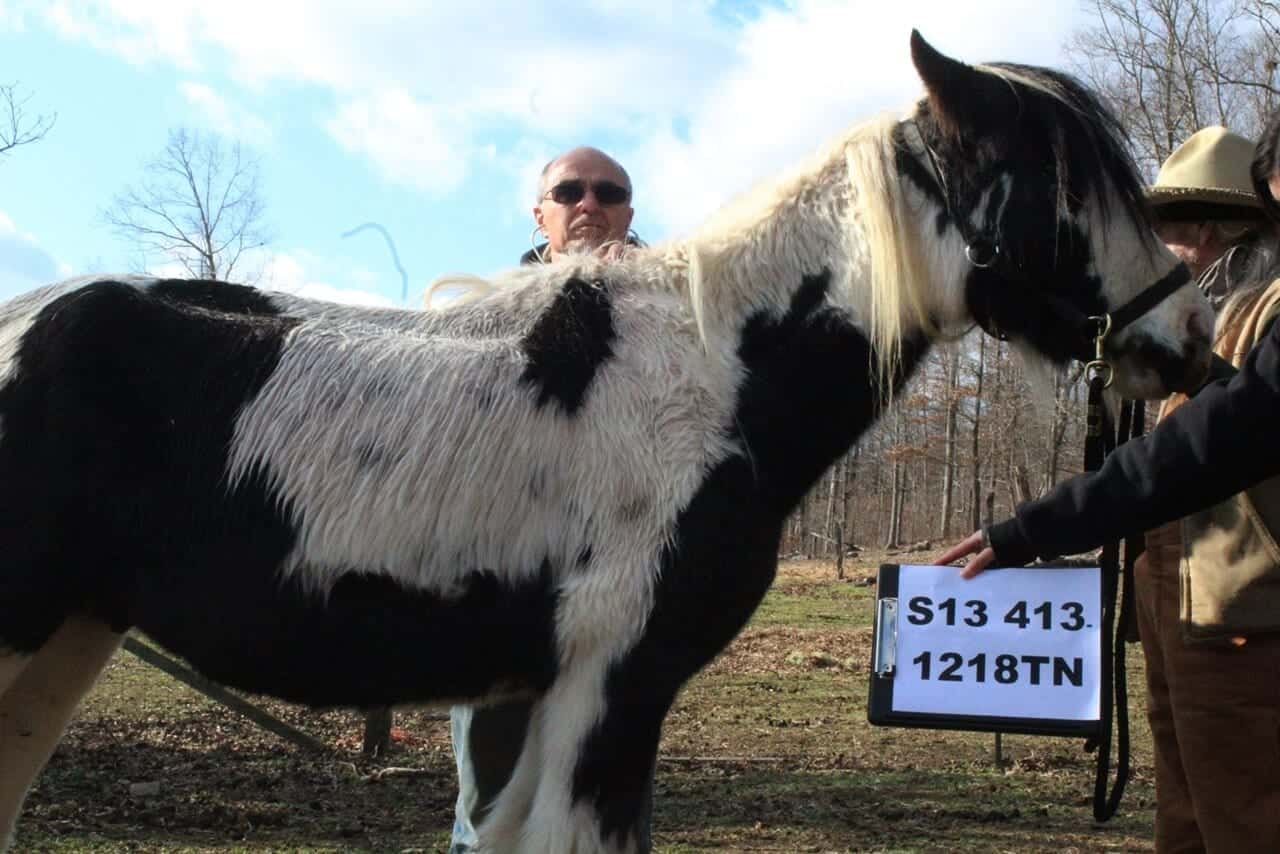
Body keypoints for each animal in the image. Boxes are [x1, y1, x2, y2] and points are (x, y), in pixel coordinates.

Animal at [0, 33, 1208, 854]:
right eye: (1059, 187)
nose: (1184, 339)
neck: (710, 374)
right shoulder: (610, 687)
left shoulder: (559, 700)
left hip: (69, 637)